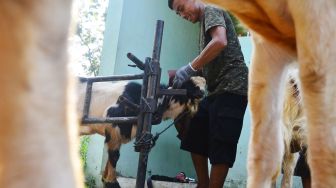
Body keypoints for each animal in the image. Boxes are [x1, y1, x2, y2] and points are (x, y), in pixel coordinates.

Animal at [78, 76, 206, 187]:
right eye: (190, 85)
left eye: (205, 84)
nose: (203, 93)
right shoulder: (114, 124)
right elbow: (114, 155)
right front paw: (111, 182)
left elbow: (111, 157)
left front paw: (106, 179)